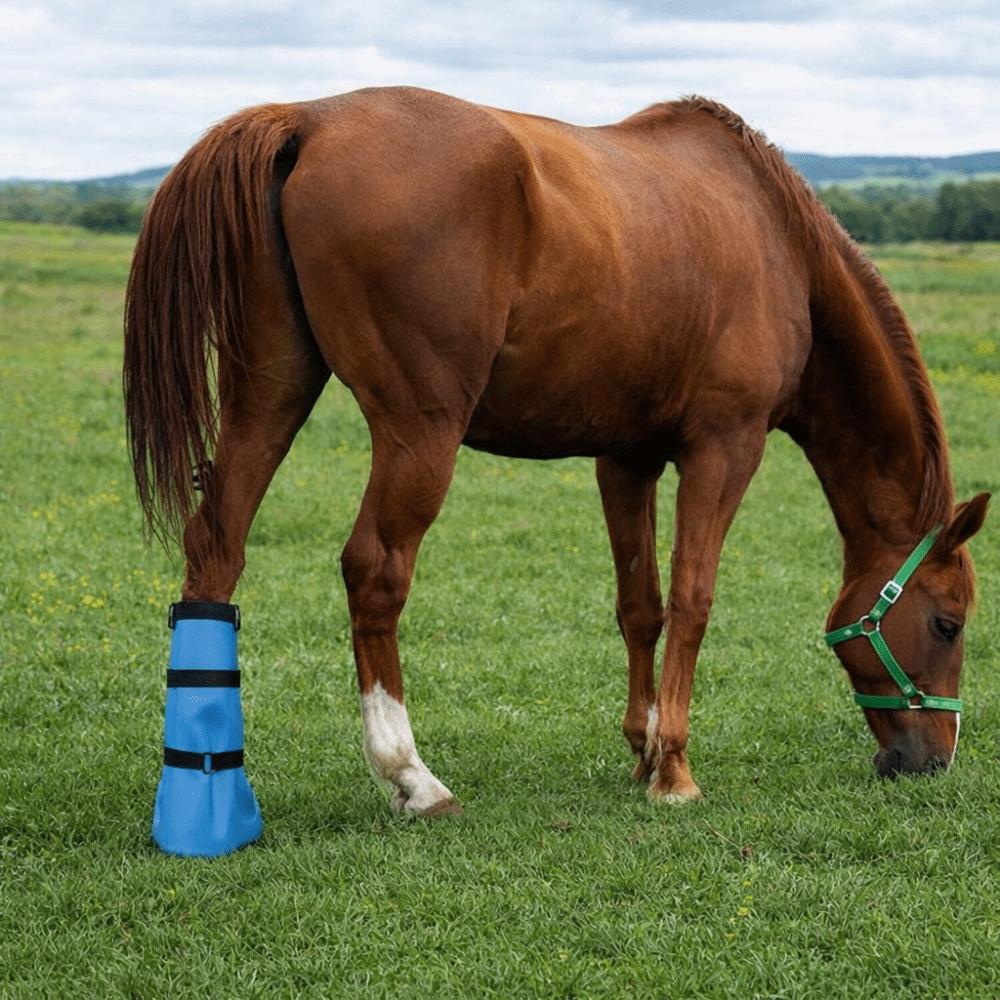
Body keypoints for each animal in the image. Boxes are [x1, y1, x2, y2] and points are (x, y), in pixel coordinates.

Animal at [124, 86, 990, 815]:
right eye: (948, 624)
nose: (935, 759)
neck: (777, 238)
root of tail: (309, 119)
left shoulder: (627, 458)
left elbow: (640, 605)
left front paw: (642, 750)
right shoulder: (725, 447)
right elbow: (693, 600)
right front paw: (675, 770)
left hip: (270, 395)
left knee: (217, 548)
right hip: (418, 432)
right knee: (373, 571)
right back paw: (411, 775)